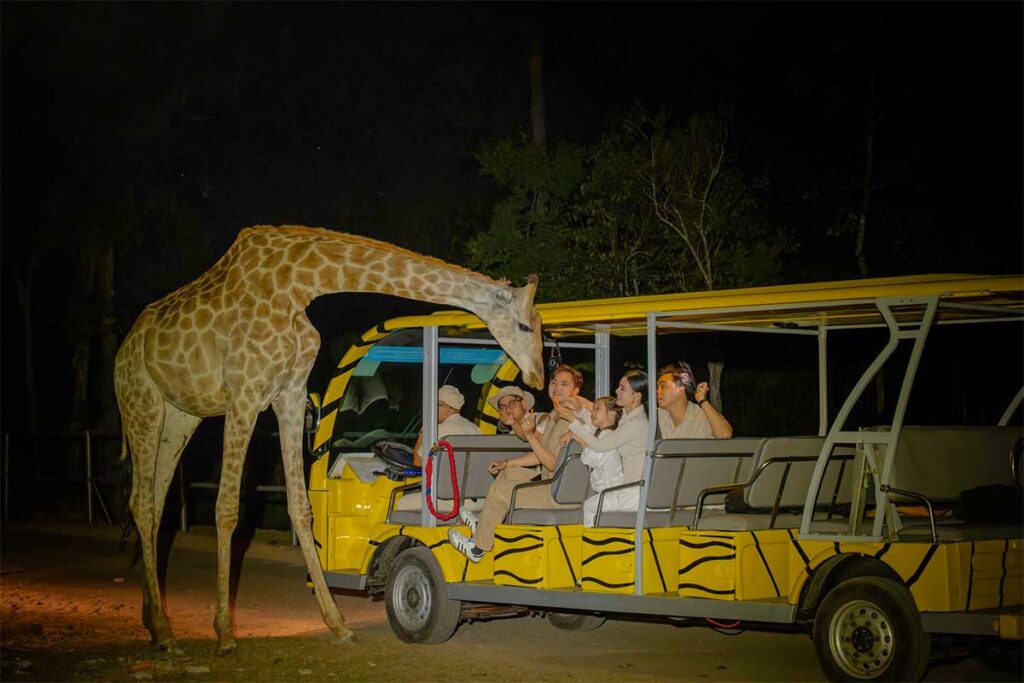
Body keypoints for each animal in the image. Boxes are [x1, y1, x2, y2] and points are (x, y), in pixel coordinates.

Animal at [114, 225, 545, 654]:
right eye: (525, 325)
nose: (539, 376)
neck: (299, 284)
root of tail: (125, 348)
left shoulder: (288, 393)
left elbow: (300, 506)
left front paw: (337, 623)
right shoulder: (244, 394)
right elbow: (227, 508)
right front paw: (224, 634)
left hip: (181, 415)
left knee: (154, 501)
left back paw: (153, 620)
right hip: (142, 403)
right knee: (142, 503)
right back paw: (165, 632)